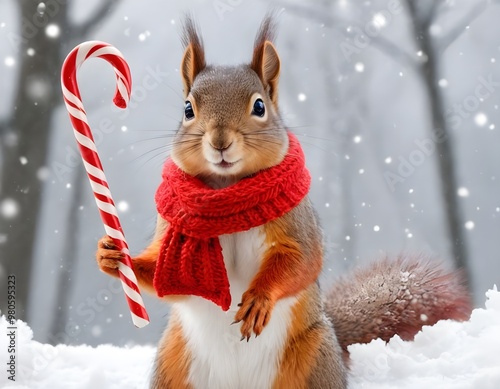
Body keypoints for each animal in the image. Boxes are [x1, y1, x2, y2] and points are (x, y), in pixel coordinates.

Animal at [94, 13, 472, 388]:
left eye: (259, 106)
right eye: (188, 109)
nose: (219, 141)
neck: (226, 190)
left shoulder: (296, 223)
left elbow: (300, 260)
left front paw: (259, 300)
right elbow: (165, 278)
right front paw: (114, 255)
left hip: (312, 358)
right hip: (173, 361)